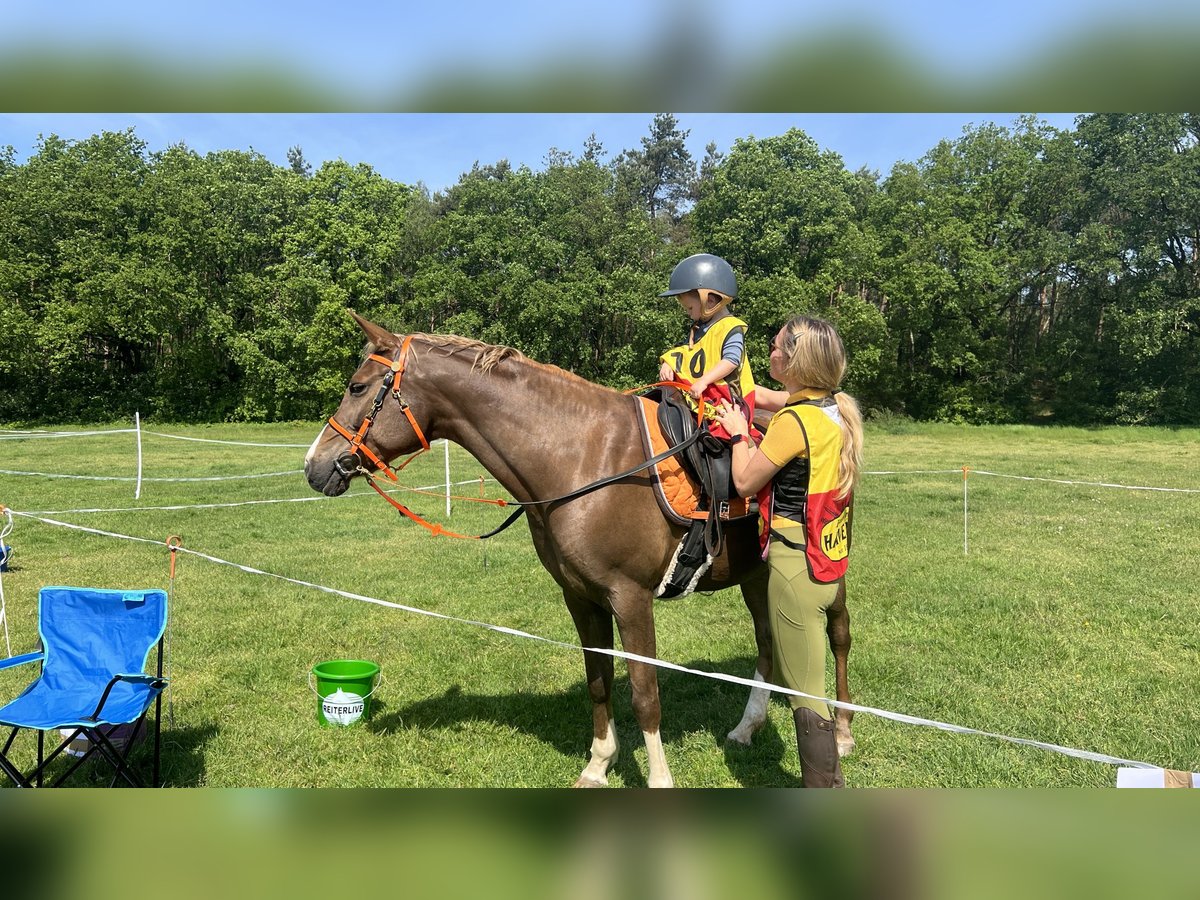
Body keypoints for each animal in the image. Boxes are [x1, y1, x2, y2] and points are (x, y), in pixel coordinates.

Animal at [302, 314, 854, 787]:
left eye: (357, 387)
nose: (314, 466)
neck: (583, 457)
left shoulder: (630, 599)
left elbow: (645, 693)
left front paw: (658, 779)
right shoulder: (581, 597)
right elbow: (599, 680)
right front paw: (598, 764)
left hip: (824, 566)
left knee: (838, 636)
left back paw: (844, 732)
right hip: (757, 575)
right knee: (767, 642)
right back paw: (746, 727)